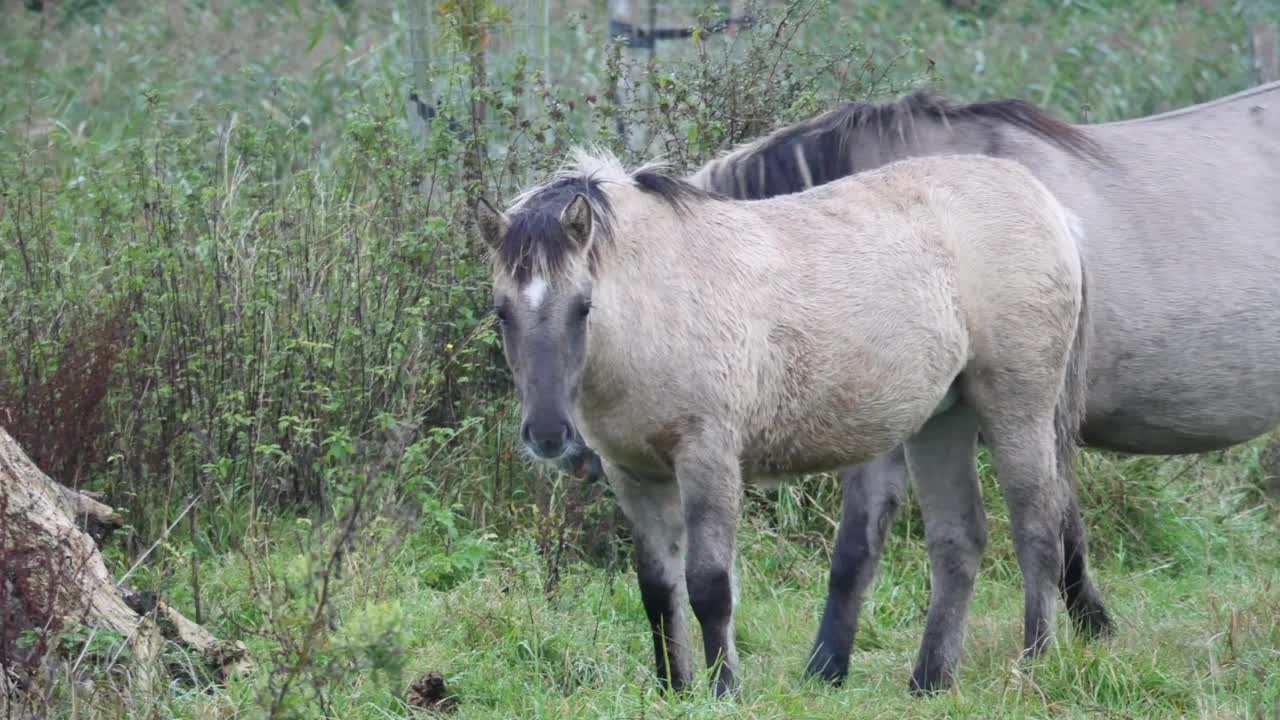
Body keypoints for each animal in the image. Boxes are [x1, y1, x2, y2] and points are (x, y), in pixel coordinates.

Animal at [481, 149, 1090, 696]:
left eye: (583, 306)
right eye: (501, 312)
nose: (547, 434)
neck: (655, 305)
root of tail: (1044, 199)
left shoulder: (707, 459)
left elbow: (709, 585)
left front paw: (724, 690)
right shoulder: (633, 474)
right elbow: (657, 589)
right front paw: (673, 688)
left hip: (1018, 408)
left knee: (1037, 528)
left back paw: (1033, 664)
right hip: (941, 422)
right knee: (958, 540)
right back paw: (929, 680)